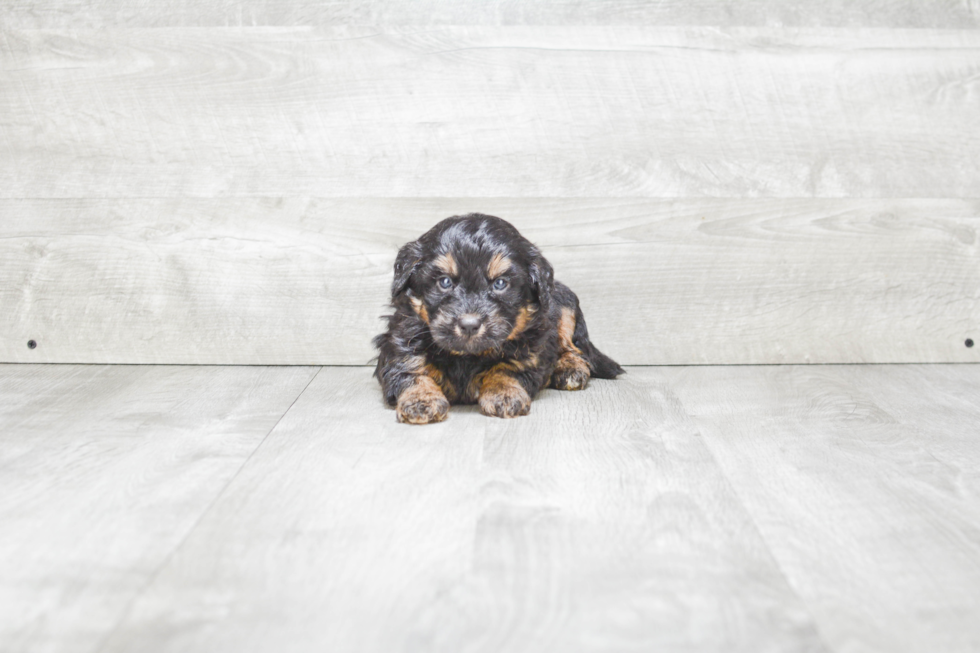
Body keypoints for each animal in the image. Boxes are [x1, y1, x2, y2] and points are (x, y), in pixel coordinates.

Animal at [372, 211, 624, 420]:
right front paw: (421, 400)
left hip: (565, 306)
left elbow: (509, 367)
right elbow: (410, 369)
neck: (467, 356)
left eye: (500, 284)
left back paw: (570, 369)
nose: (469, 325)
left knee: (573, 348)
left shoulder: (532, 349)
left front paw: (504, 393)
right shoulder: (399, 343)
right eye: (444, 282)